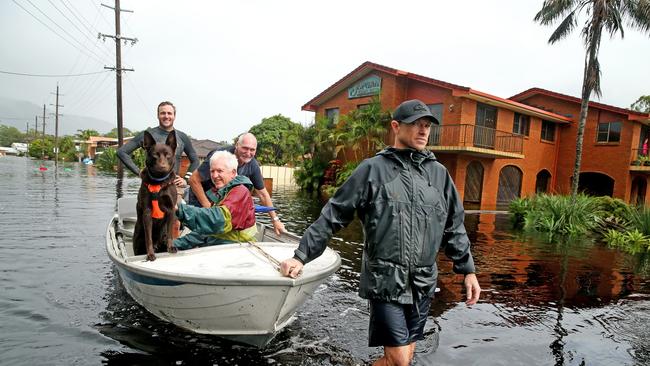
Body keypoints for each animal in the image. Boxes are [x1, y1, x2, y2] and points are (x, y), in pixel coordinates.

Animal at [133, 130, 177, 262]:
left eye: (168, 155)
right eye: (155, 155)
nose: (162, 167)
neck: (159, 182)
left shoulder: (171, 209)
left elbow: (170, 233)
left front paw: (171, 247)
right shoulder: (147, 212)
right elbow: (149, 238)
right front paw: (150, 254)